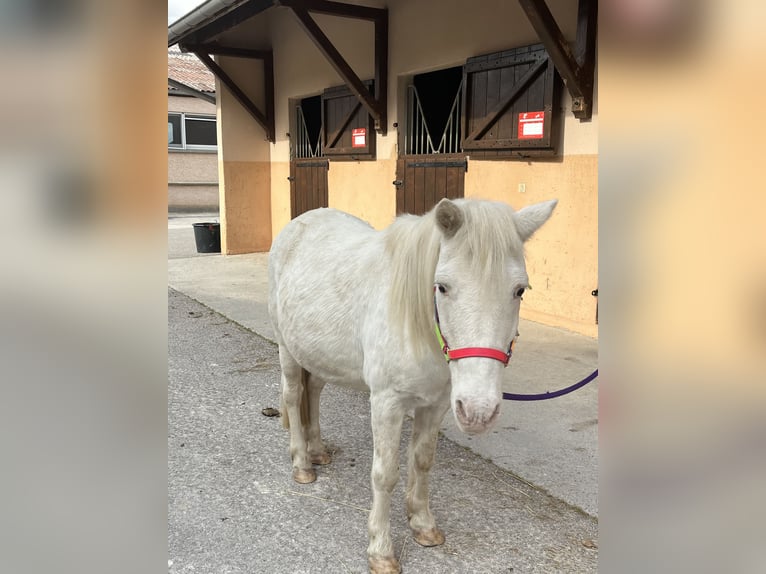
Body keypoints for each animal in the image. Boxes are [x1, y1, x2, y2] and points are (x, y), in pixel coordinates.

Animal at [270, 199, 560, 574]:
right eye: (443, 286)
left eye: (520, 290)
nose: (479, 412)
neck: (419, 325)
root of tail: (299, 223)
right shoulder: (386, 405)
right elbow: (385, 474)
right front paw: (380, 550)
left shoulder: (436, 405)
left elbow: (422, 461)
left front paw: (423, 525)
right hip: (287, 349)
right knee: (293, 398)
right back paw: (303, 465)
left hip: (319, 354)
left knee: (315, 391)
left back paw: (318, 450)